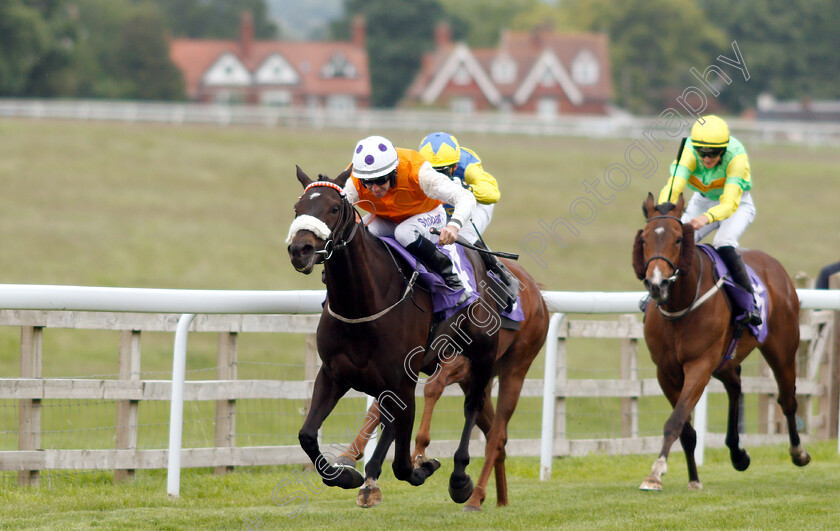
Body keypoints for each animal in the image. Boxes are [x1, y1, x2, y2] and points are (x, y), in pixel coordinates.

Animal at [286, 167, 502, 512]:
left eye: (333, 208)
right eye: (297, 209)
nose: (300, 250)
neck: (363, 305)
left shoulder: (403, 381)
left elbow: (402, 464)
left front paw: (425, 466)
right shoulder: (333, 375)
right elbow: (307, 435)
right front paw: (345, 475)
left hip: (482, 354)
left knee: (473, 405)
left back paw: (459, 479)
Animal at [334, 258, 552, 512]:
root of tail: (537, 295)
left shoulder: (458, 361)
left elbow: (431, 388)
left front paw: (419, 451)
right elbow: (380, 406)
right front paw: (349, 455)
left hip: (516, 368)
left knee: (497, 435)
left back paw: (475, 498)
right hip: (479, 381)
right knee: (494, 434)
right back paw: (500, 498)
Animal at [632, 193, 812, 492]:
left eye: (678, 239)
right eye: (644, 239)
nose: (656, 284)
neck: (680, 305)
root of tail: (776, 267)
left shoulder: (700, 364)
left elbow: (675, 420)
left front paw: (655, 474)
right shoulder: (665, 371)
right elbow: (686, 429)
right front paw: (693, 479)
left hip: (782, 350)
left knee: (787, 399)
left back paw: (798, 452)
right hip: (726, 360)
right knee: (735, 386)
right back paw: (737, 454)